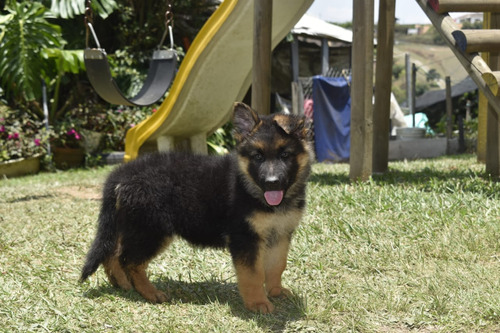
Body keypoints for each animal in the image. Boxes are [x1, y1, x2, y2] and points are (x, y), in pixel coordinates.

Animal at [80, 102, 314, 312]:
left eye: (285, 155)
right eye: (257, 157)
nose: (272, 183)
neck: (251, 187)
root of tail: (122, 173)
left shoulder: (280, 233)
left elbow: (277, 266)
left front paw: (275, 292)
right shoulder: (245, 238)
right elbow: (253, 274)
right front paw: (257, 303)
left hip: (133, 224)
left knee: (112, 252)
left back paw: (122, 284)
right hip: (151, 230)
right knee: (129, 261)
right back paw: (150, 293)